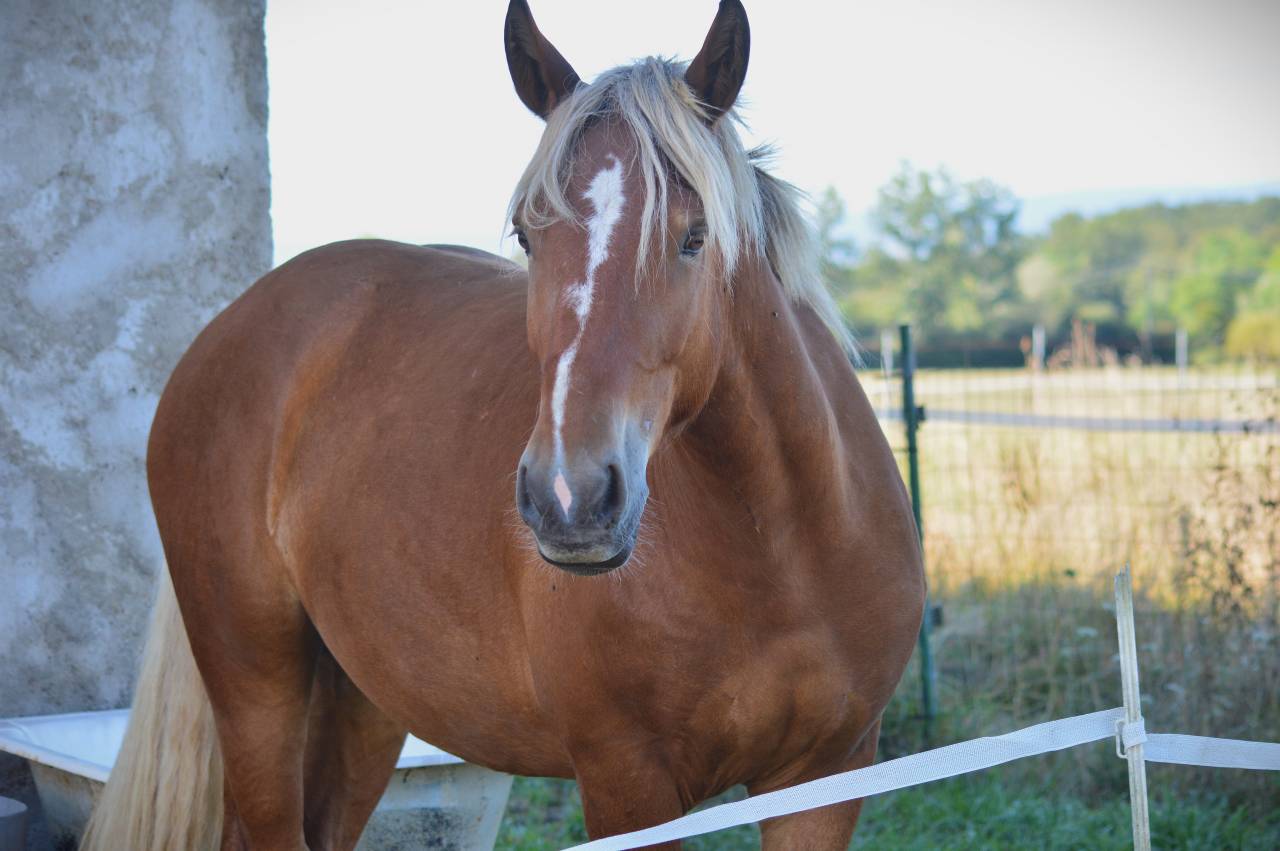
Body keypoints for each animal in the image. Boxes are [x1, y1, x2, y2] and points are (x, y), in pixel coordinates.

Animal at [82, 1, 924, 848]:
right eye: (527, 234)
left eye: (694, 237)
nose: (570, 498)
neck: (783, 546)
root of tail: (225, 330)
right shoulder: (628, 782)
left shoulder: (827, 775)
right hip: (255, 686)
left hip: (363, 699)